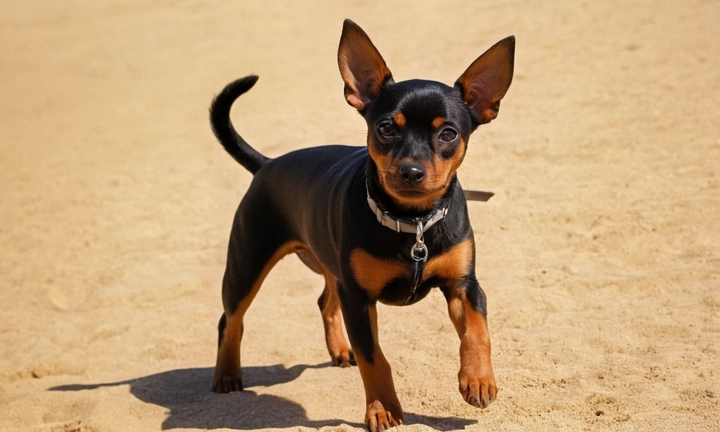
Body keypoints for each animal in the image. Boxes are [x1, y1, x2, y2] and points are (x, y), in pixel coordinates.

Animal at [207, 18, 512, 430]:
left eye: (448, 133)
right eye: (386, 128)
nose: (411, 171)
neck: (413, 221)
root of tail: (267, 164)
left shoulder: (465, 286)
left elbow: (477, 333)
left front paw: (478, 380)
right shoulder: (359, 299)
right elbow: (374, 358)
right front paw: (383, 409)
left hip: (330, 264)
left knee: (324, 300)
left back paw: (339, 349)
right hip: (247, 263)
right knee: (231, 319)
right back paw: (226, 374)